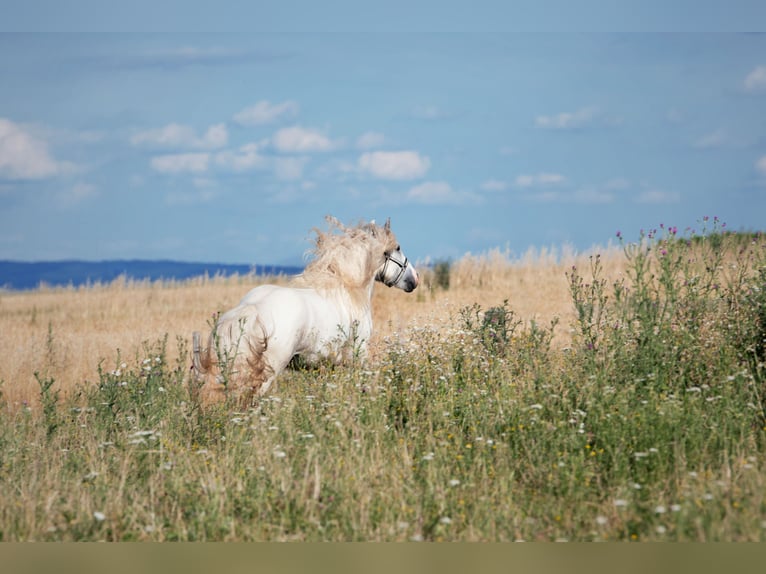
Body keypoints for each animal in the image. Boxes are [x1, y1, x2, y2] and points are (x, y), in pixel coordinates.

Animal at [192, 216, 420, 404]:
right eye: (398, 247)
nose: (414, 279)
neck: (345, 288)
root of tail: (252, 311)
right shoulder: (358, 356)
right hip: (269, 373)